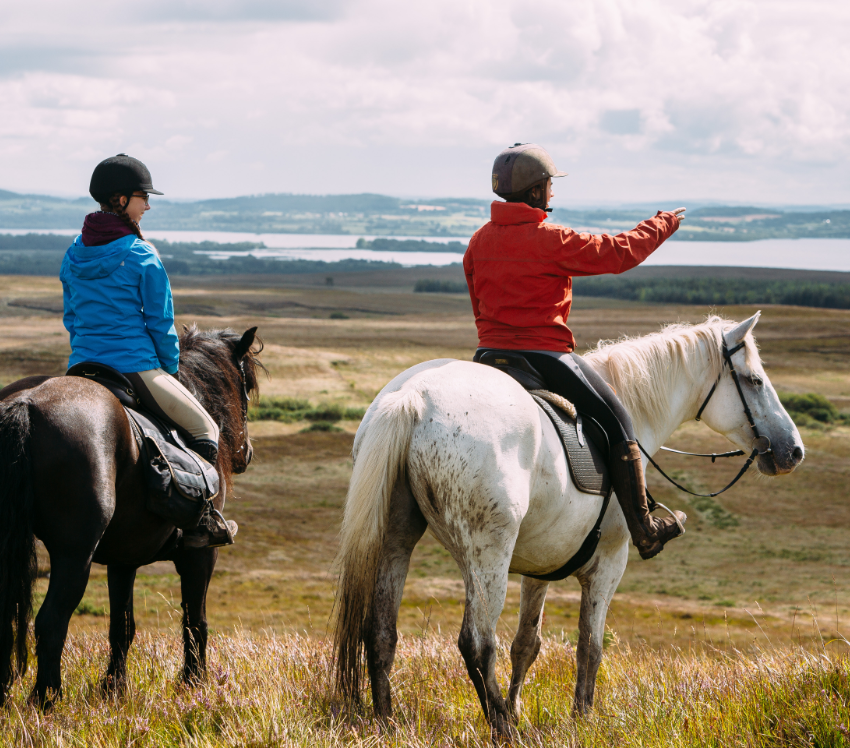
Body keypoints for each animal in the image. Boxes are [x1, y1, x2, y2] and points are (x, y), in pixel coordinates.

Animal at [0, 326, 263, 708]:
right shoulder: (200, 554)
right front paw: (193, 683)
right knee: (51, 621)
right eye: (247, 385)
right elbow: (195, 620)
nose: (247, 453)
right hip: (74, 555)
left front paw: (114, 688)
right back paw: (46, 700)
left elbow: (122, 626)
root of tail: (26, 405)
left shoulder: (123, 559)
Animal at [332, 313, 804, 738]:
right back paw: (503, 729)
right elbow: (590, 647)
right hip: (488, 553)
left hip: (396, 539)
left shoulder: (539, 567)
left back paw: (389, 722)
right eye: (755, 381)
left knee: (381, 631)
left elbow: (527, 644)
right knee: (477, 643)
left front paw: (520, 706)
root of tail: (414, 398)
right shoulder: (608, 565)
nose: (793, 450)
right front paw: (583, 719)